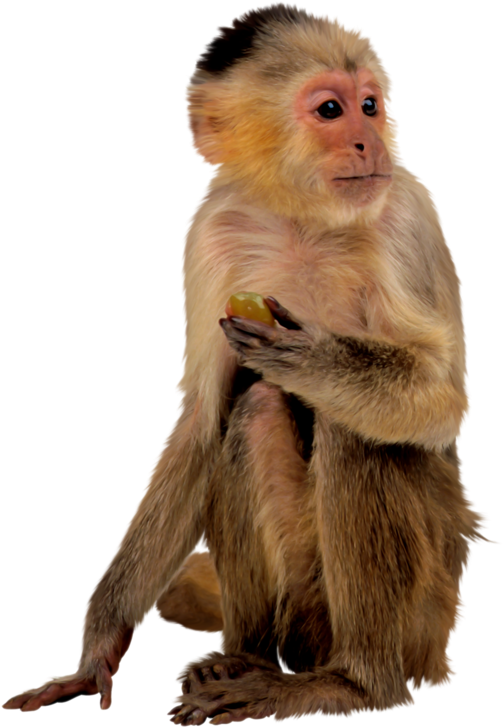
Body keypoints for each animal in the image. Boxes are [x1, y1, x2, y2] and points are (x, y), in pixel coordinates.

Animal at [2, 2, 499, 723]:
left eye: (369, 105)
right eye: (330, 110)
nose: (368, 142)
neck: (303, 214)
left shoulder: (409, 212)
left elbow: (443, 398)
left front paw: (315, 360)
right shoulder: (211, 227)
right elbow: (200, 420)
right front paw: (99, 648)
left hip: (431, 611)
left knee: (355, 432)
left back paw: (357, 683)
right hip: (305, 610)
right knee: (252, 410)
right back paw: (246, 656)